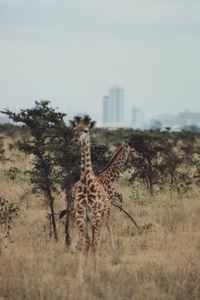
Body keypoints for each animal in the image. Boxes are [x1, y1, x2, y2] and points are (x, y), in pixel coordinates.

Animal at [69, 115, 111, 282]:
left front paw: (96, 274)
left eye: (86, 130)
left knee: (96, 241)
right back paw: (86, 268)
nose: (75, 140)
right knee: (87, 241)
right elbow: (81, 244)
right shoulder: (81, 215)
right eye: (75, 129)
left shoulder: (96, 216)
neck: (87, 181)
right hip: (85, 220)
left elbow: (95, 244)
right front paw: (80, 276)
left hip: (102, 219)